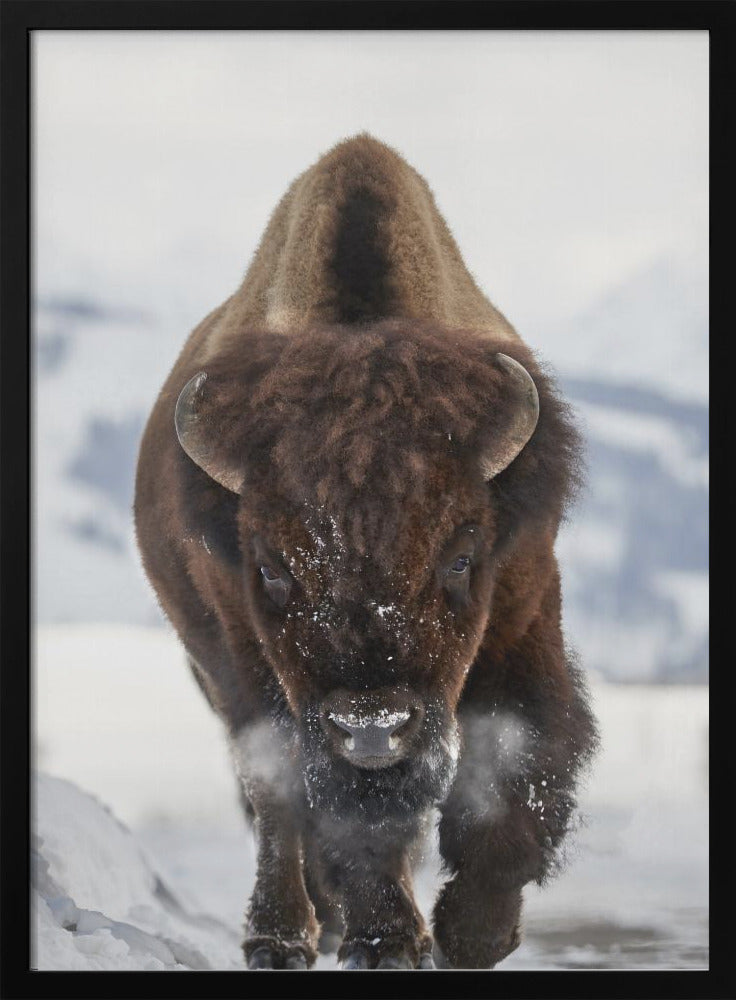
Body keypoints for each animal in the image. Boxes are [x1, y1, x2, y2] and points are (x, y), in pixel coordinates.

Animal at [134, 134, 597, 970]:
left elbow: (518, 758)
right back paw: (285, 935)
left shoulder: (522, 611)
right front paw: (385, 940)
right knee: (277, 800)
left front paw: (472, 933)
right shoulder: (248, 653)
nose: (373, 726)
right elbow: (316, 801)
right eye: (272, 567)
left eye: (461, 557)